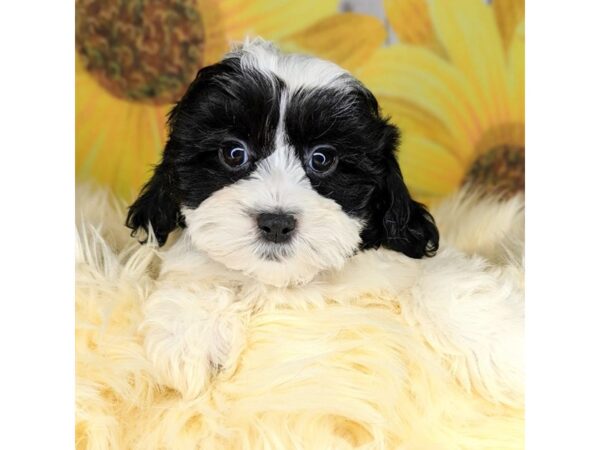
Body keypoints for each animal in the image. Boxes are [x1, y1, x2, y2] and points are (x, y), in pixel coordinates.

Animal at [127, 40, 520, 402]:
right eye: (234, 153)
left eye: (322, 159)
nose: (276, 223)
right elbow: (199, 276)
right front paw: (189, 340)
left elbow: (437, 277)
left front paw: (500, 345)